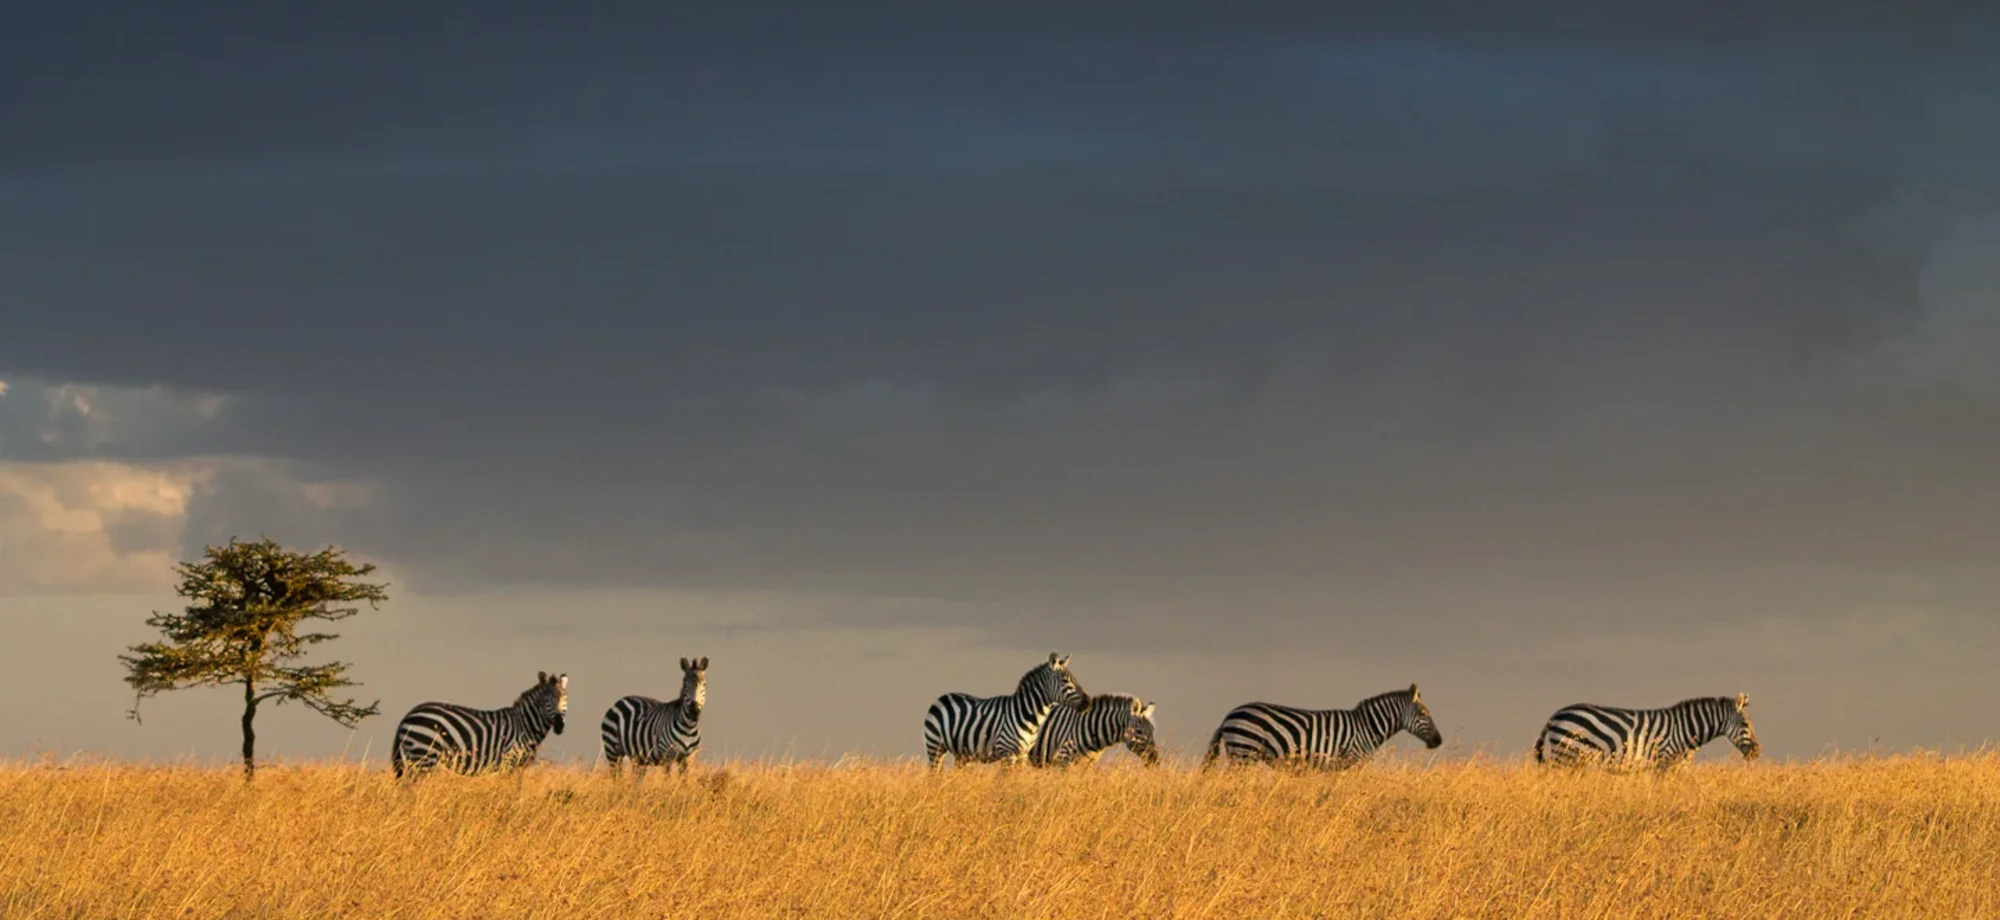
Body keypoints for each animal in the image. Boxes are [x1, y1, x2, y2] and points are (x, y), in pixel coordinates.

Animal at [390, 668, 568, 776]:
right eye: (546, 701)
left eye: (565, 699)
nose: (559, 726)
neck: (524, 725)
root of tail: (407, 715)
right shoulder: (508, 761)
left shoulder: (519, 766)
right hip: (423, 756)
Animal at [924, 652, 1096, 772]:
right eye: (1065, 681)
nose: (1089, 702)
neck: (1028, 715)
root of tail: (943, 696)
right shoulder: (1008, 754)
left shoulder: (1022, 756)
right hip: (935, 746)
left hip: (961, 753)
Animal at [1192, 684, 1448, 768]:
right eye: (1424, 714)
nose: (1439, 742)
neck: (1366, 727)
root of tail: (1229, 715)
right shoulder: (1350, 759)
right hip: (1244, 752)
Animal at [1536, 688, 1760, 768]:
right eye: (1745, 724)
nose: (1757, 752)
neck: (1685, 729)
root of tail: (1556, 714)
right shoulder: (1664, 760)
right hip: (1566, 756)